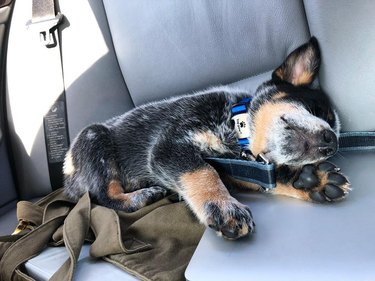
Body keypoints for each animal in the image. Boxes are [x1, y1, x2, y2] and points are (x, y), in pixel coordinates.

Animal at [64, 37, 350, 238]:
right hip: (93, 138)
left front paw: (311, 180)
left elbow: (269, 177)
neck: (235, 127)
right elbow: (203, 171)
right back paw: (143, 196)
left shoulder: (239, 169)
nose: (332, 142)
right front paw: (223, 207)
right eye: (315, 108)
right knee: (105, 196)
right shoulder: (169, 145)